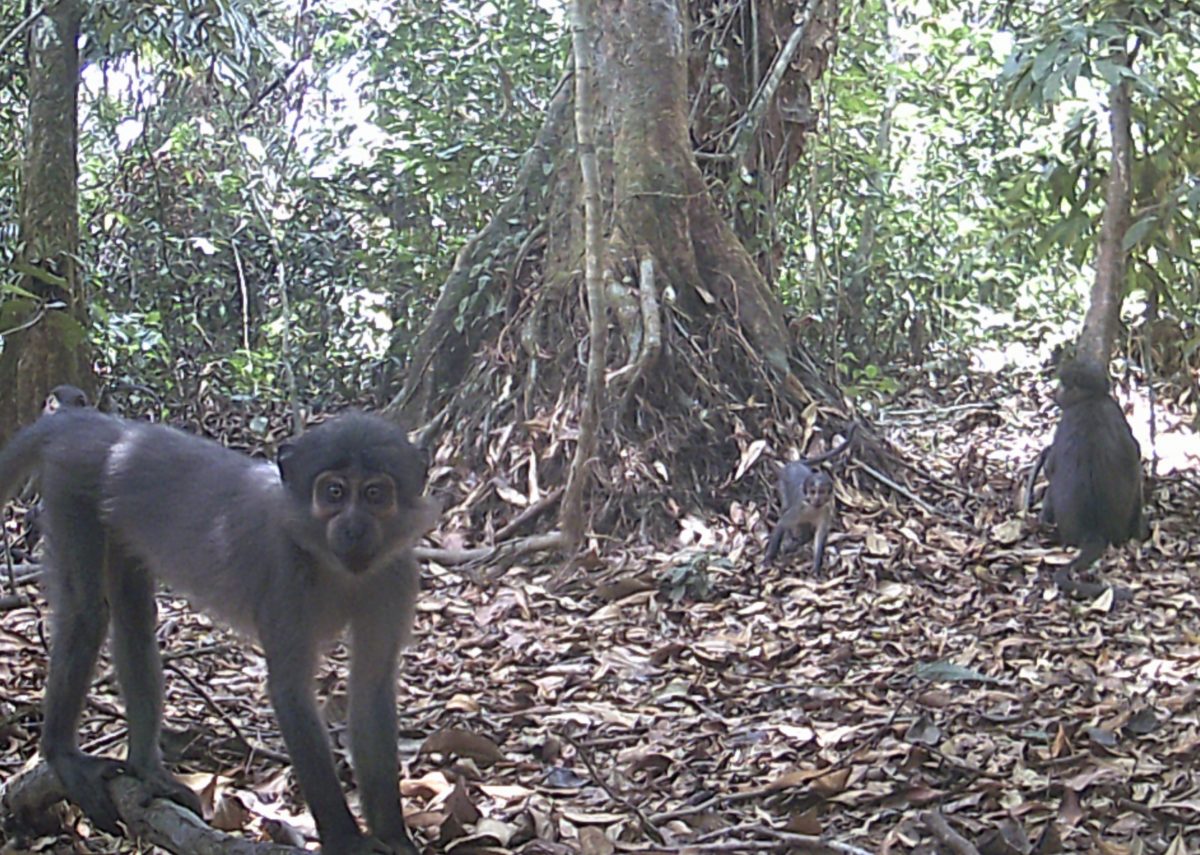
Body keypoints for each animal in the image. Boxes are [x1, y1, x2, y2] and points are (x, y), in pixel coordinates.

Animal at [0, 408, 441, 855]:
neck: (337, 566)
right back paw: (61, 753)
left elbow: (371, 690)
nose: (353, 527)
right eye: (333, 492)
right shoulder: (286, 574)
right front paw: (345, 840)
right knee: (85, 614)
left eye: (374, 494)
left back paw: (145, 768)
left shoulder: (395, 575)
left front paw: (393, 836)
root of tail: (95, 424)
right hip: (72, 489)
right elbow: (291, 692)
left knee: (133, 618)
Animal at [763, 425, 859, 578]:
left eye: (821, 492)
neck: (814, 508)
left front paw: (815, 568)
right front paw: (768, 558)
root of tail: (794, 465)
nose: (817, 498)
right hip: (782, 486)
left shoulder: (826, 511)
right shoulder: (799, 507)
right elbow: (781, 524)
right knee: (785, 508)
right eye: (813, 491)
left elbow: (819, 537)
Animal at [1027, 357, 1147, 598]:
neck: (1091, 399)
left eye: (1064, 385)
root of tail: (1094, 532)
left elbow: (1051, 466)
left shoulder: (1068, 419)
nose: (1057, 392)